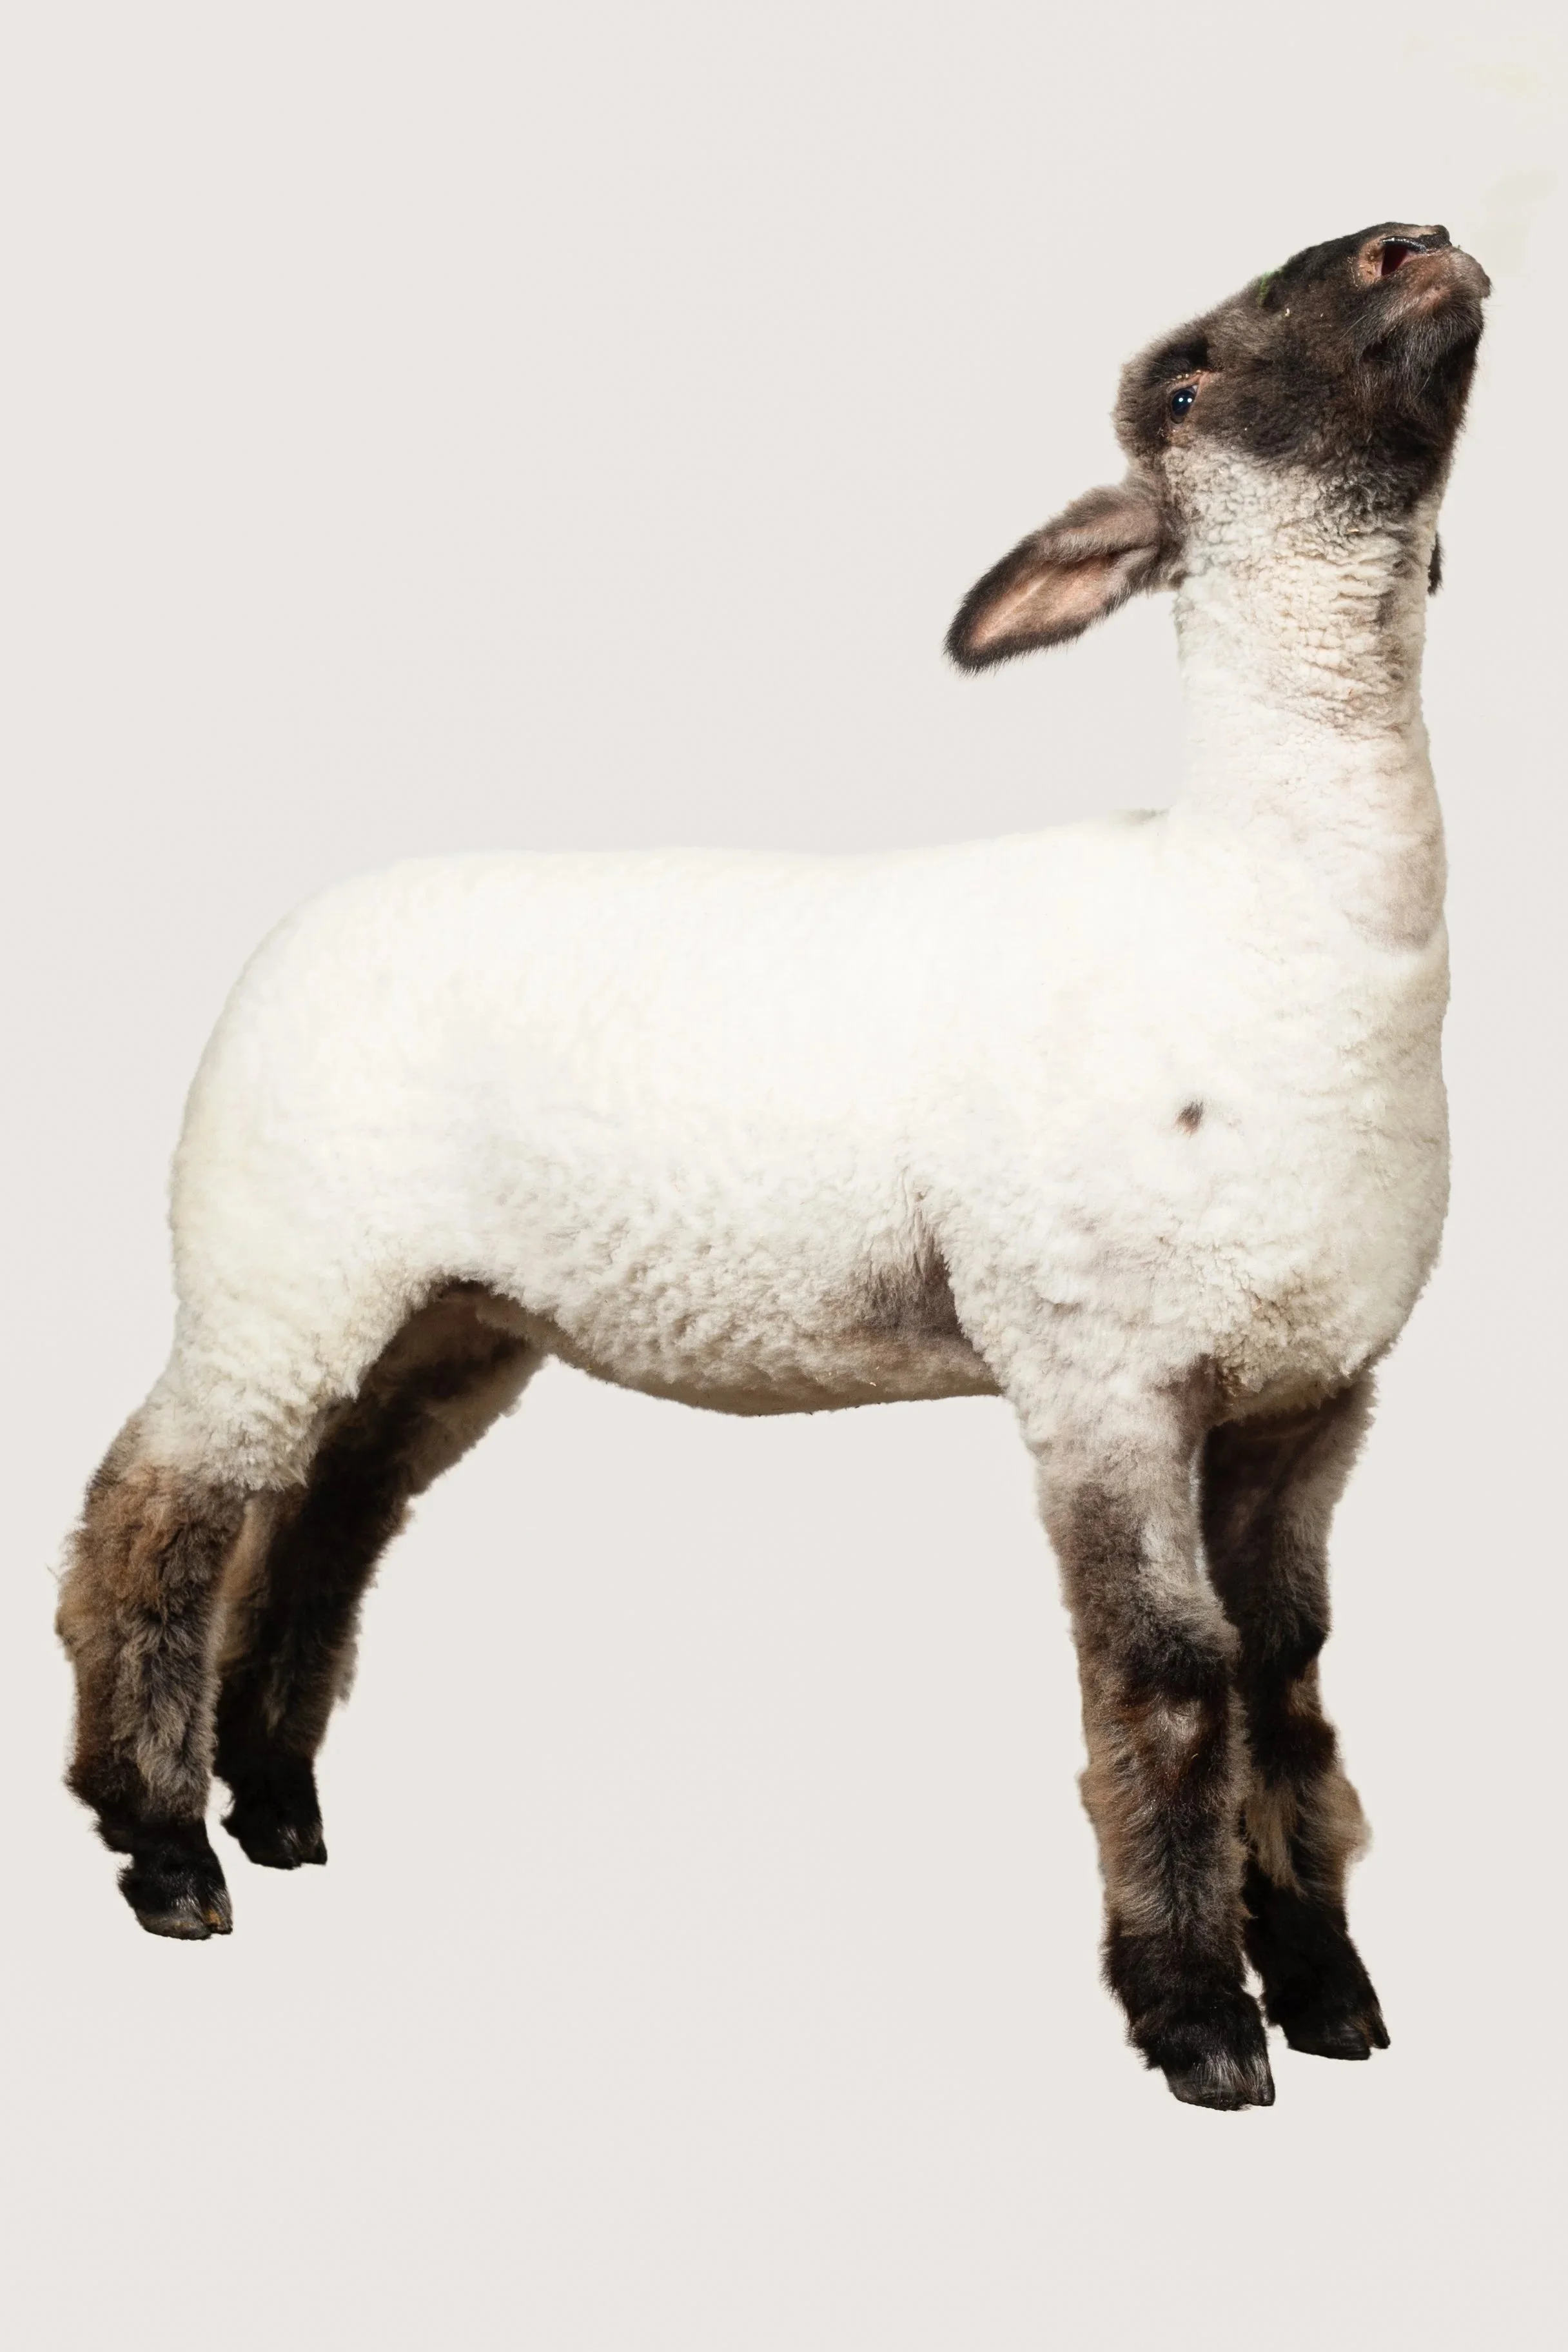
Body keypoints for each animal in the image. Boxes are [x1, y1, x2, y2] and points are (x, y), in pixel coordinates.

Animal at [57, 221, 1488, 2110]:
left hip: (448, 1308)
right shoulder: (1102, 1372)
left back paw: (275, 1807)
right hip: (273, 1255)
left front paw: (1325, 1984)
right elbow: (1171, 1678)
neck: (1260, 911)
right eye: (1182, 386)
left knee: (333, 1509)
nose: (1414, 245)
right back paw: (161, 1849)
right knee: (157, 1509)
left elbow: (1291, 1684)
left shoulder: (1309, 1392)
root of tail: (290, 932)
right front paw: (1195, 2019)